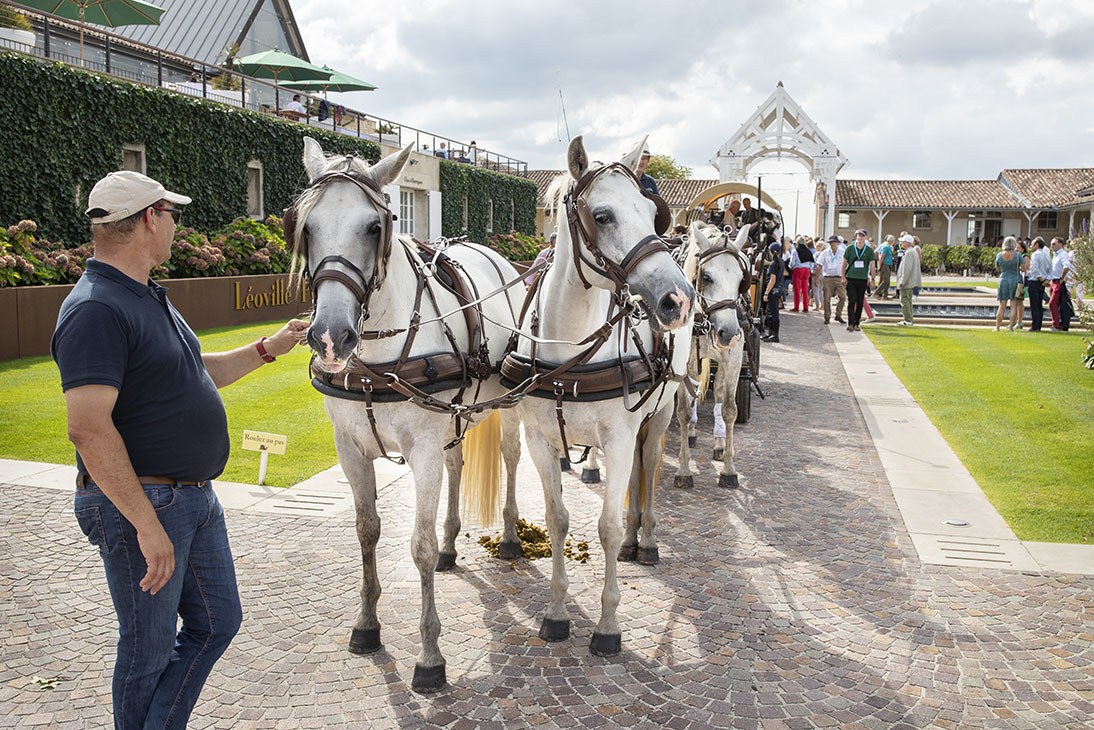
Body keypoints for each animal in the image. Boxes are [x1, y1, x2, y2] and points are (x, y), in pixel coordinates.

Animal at [507, 136, 695, 656]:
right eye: (604, 215)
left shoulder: (618, 435)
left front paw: (608, 625)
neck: (570, 351)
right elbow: (557, 520)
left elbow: (606, 527)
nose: (678, 299)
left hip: (659, 412)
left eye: (652, 213)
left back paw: (644, 540)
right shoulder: (540, 440)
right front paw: (556, 613)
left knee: (647, 468)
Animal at [673, 219, 752, 488]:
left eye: (742, 279)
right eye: (706, 277)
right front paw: (684, 469)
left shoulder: (734, 358)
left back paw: (718, 444)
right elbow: (684, 411)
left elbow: (728, 408)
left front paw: (729, 469)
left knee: (716, 393)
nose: (728, 332)